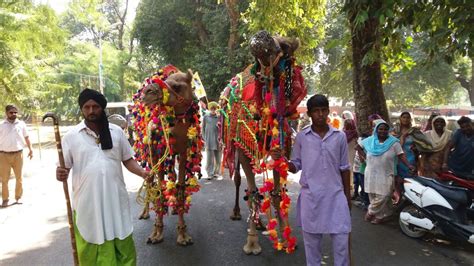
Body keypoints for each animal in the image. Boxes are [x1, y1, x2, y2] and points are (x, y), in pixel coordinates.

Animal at [131, 65, 203, 246]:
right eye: (165, 81)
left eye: (177, 86)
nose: (147, 92)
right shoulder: (158, 155)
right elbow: (160, 187)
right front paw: (156, 233)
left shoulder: (183, 152)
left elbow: (181, 186)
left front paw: (183, 234)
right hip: (148, 155)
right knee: (149, 179)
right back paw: (144, 213)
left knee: (173, 179)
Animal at [221, 30, 308, 255]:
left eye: (283, 48)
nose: (260, 37)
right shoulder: (244, 148)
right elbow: (251, 191)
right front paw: (252, 243)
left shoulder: (283, 149)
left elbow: (277, 193)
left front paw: (285, 234)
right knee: (239, 181)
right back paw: (239, 214)